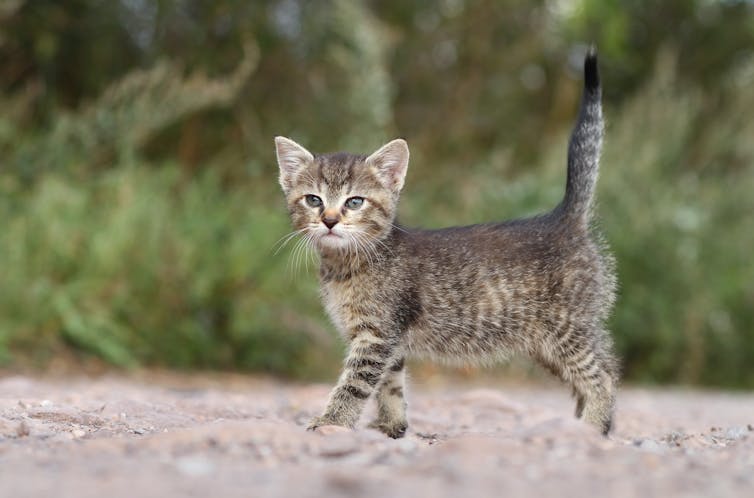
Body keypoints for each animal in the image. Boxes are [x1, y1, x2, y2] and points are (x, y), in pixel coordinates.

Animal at [276, 49, 616, 436]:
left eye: (355, 202)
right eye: (313, 200)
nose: (330, 220)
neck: (346, 263)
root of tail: (565, 217)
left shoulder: (377, 335)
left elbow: (355, 383)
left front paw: (332, 421)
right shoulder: (389, 341)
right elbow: (391, 384)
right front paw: (391, 426)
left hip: (567, 328)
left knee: (603, 374)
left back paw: (591, 427)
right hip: (546, 344)